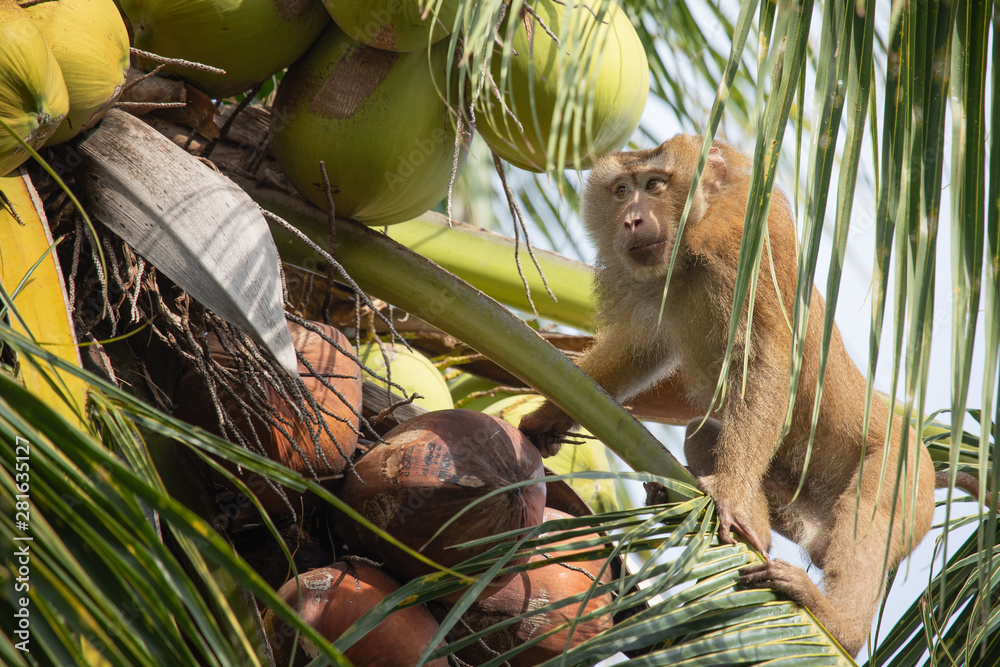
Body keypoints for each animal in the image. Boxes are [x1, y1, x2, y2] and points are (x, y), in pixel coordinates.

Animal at [518, 133, 992, 656]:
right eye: (622, 190)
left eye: (655, 184)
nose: (631, 219)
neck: (688, 255)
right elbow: (640, 350)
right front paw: (549, 416)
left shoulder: (743, 244)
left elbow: (767, 363)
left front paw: (727, 493)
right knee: (703, 435)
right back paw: (754, 533)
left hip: (905, 472)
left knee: (869, 513)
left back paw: (839, 624)